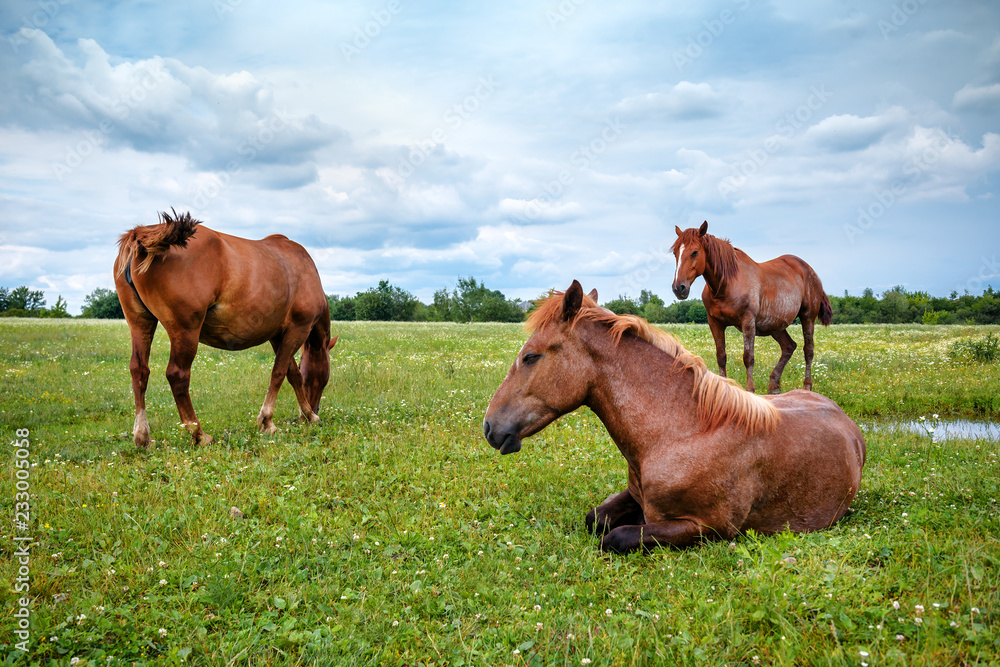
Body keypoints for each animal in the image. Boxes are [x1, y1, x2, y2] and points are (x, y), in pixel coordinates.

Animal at [113, 209, 336, 448]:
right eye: (325, 376)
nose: (315, 408)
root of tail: (143, 235)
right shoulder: (297, 330)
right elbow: (280, 373)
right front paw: (273, 420)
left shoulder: (278, 336)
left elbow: (292, 373)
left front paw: (304, 414)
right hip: (185, 331)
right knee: (177, 375)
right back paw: (199, 434)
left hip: (140, 323)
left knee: (139, 370)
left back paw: (143, 436)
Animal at [483, 280, 864, 553]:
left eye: (531, 356)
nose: (489, 427)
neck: (681, 431)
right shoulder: (635, 495)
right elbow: (596, 519)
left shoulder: (708, 527)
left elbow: (615, 537)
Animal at [671, 221, 832, 394]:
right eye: (675, 253)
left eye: (694, 252)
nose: (679, 288)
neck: (726, 284)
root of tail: (809, 270)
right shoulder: (715, 323)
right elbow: (721, 356)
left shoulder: (748, 321)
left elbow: (748, 357)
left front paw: (750, 390)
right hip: (775, 326)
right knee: (789, 347)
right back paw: (774, 386)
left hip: (807, 317)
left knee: (808, 350)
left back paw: (806, 387)